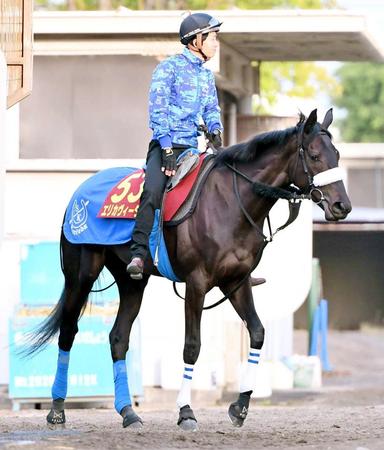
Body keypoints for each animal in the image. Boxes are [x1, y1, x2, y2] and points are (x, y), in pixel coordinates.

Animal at [27, 108, 352, 428]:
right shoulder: (197, 283)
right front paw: (186, 411)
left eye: (336, 154)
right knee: (68, 330)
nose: (342, 206)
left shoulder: (236, 282)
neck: (230, 202)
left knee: (118, 338)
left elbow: (258, 332)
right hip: (81, 275)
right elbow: (192, 346)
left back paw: (129, 413)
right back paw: (57, 410)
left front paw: (240, 406)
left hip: (132, 281)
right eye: (314, 155)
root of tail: (79, 193)